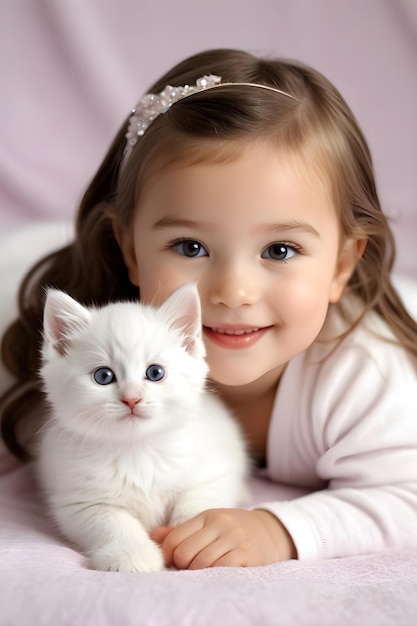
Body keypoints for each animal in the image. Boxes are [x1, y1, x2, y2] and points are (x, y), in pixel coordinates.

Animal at [36, 282, 247, 572]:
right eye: (103, 376)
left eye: (155, 372)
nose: (131, 398)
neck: (138, 450)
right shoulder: (79, 500)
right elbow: (113, 523)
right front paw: (131, 554)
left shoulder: (214, 474)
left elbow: (200, 504)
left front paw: (197, 535)